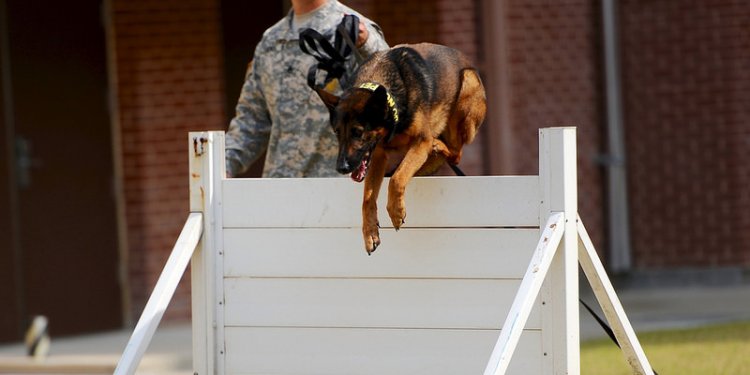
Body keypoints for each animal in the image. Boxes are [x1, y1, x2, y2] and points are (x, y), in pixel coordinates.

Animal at [312, 44, 484, 256]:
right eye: (337, 132)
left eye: (358, 132)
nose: (342, 168)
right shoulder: (378, 156)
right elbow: (367, 198)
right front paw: (370, 233)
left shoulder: (420, 141)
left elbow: (397, 178)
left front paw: (395, 211)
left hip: (467, 86)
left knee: (456, 153)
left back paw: (438, 146)